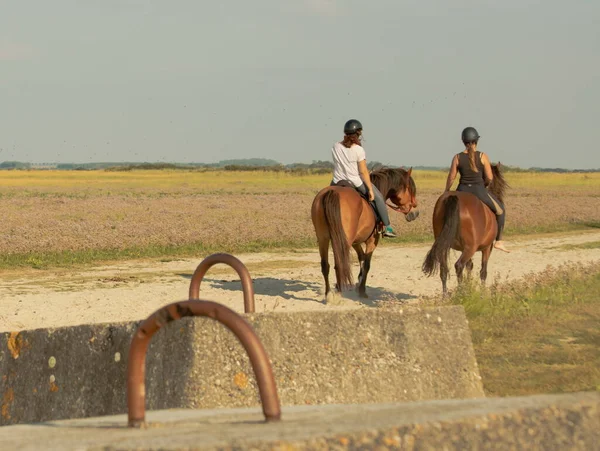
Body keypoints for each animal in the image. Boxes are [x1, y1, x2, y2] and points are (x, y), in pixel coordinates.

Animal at [420, 164, 508, 294]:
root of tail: (454, 197)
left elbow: (470, 266)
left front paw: (469, 284)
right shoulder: (487, 248)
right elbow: (483, 271)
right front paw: (481, 291)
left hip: (445, 245)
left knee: (444, 269)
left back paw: (446, 295)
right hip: (470, 248)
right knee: (459, 265)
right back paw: (461, 292)